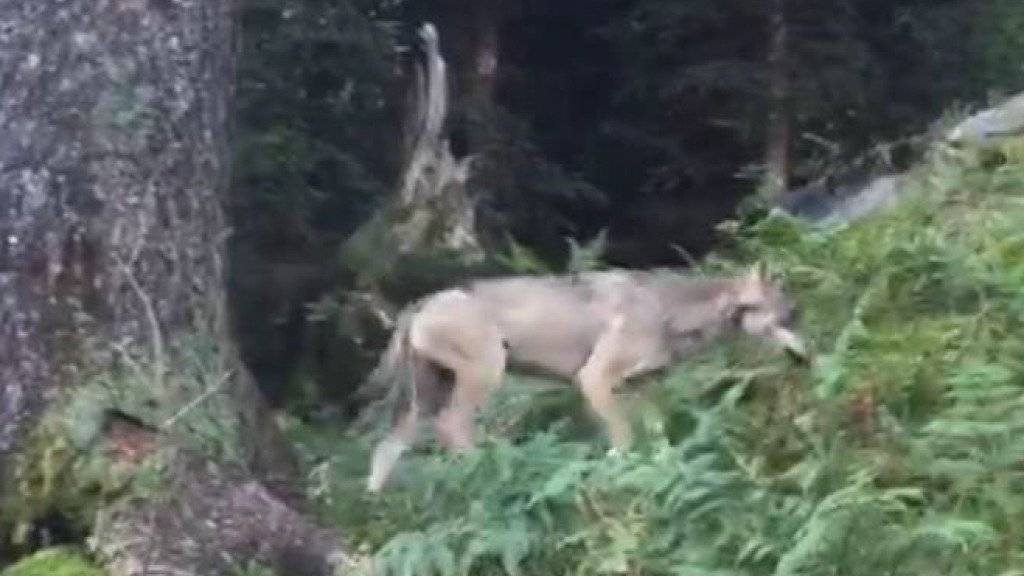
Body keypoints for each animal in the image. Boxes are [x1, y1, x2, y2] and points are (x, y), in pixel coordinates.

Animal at [364, 262, 802, 491]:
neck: (667, 310)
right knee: (452, 427)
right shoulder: (594, 381)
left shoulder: (642, 387)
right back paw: (490, 472)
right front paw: (620, 473)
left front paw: (668, 470)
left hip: (420, 402)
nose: (806, 357)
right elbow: (623, 440)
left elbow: (660, 436)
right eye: (788, 317)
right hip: (483, 377)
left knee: (385, 450)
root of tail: (419, 303)